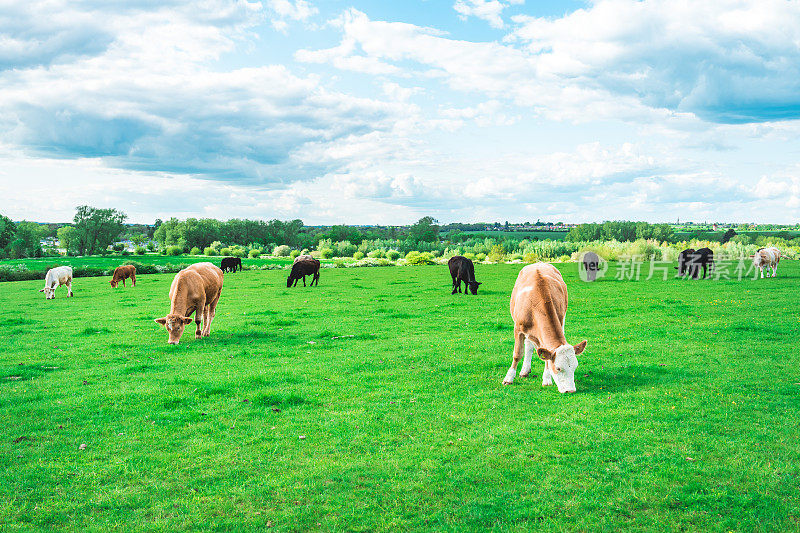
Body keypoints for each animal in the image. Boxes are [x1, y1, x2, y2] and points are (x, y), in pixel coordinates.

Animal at [506, 262, 588, 392]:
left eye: (575, 367)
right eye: (558, 368)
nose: (570, 390)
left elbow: (546, 357)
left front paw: (547, 379)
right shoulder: (518, 328)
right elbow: (517, 354)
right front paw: (509, 378)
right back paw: (524, 370)